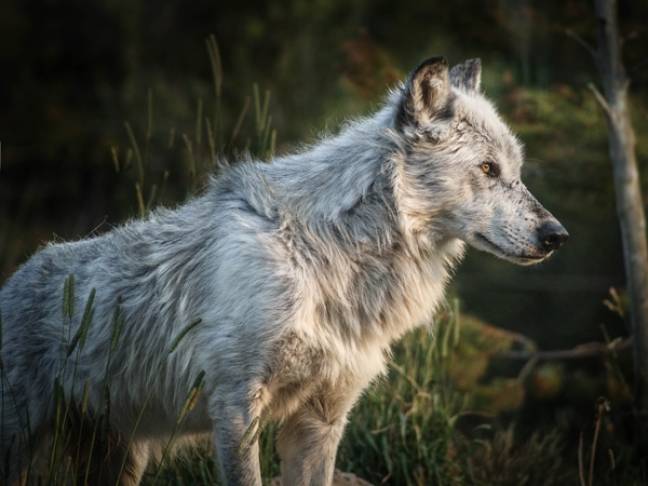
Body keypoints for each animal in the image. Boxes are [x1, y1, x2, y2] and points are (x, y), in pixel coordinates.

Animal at [0, 56, 568, 482]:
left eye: (516, 172)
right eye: (488, 169)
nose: (556, 235)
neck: (330, 256)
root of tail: (15, 278)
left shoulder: (320, 421)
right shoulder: (235, 407)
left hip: (121, 459)